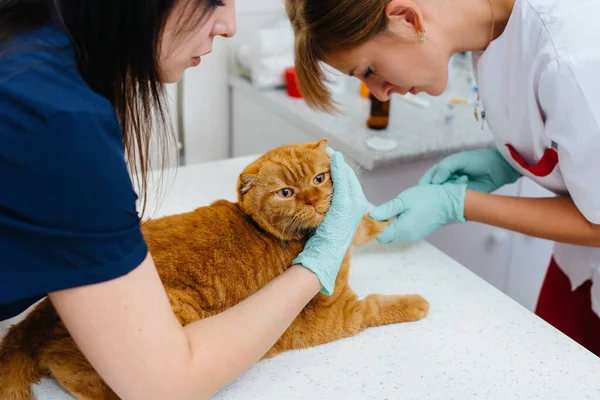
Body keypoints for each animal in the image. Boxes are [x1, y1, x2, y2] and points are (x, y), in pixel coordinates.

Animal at [0, 139, 432, 398]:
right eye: (286, 192)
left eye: (320, 178)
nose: (312, 200)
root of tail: (37, 317)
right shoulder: (331, 314)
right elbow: (376, 306)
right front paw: (416, 303)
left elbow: (366, 224)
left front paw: (403, 215)